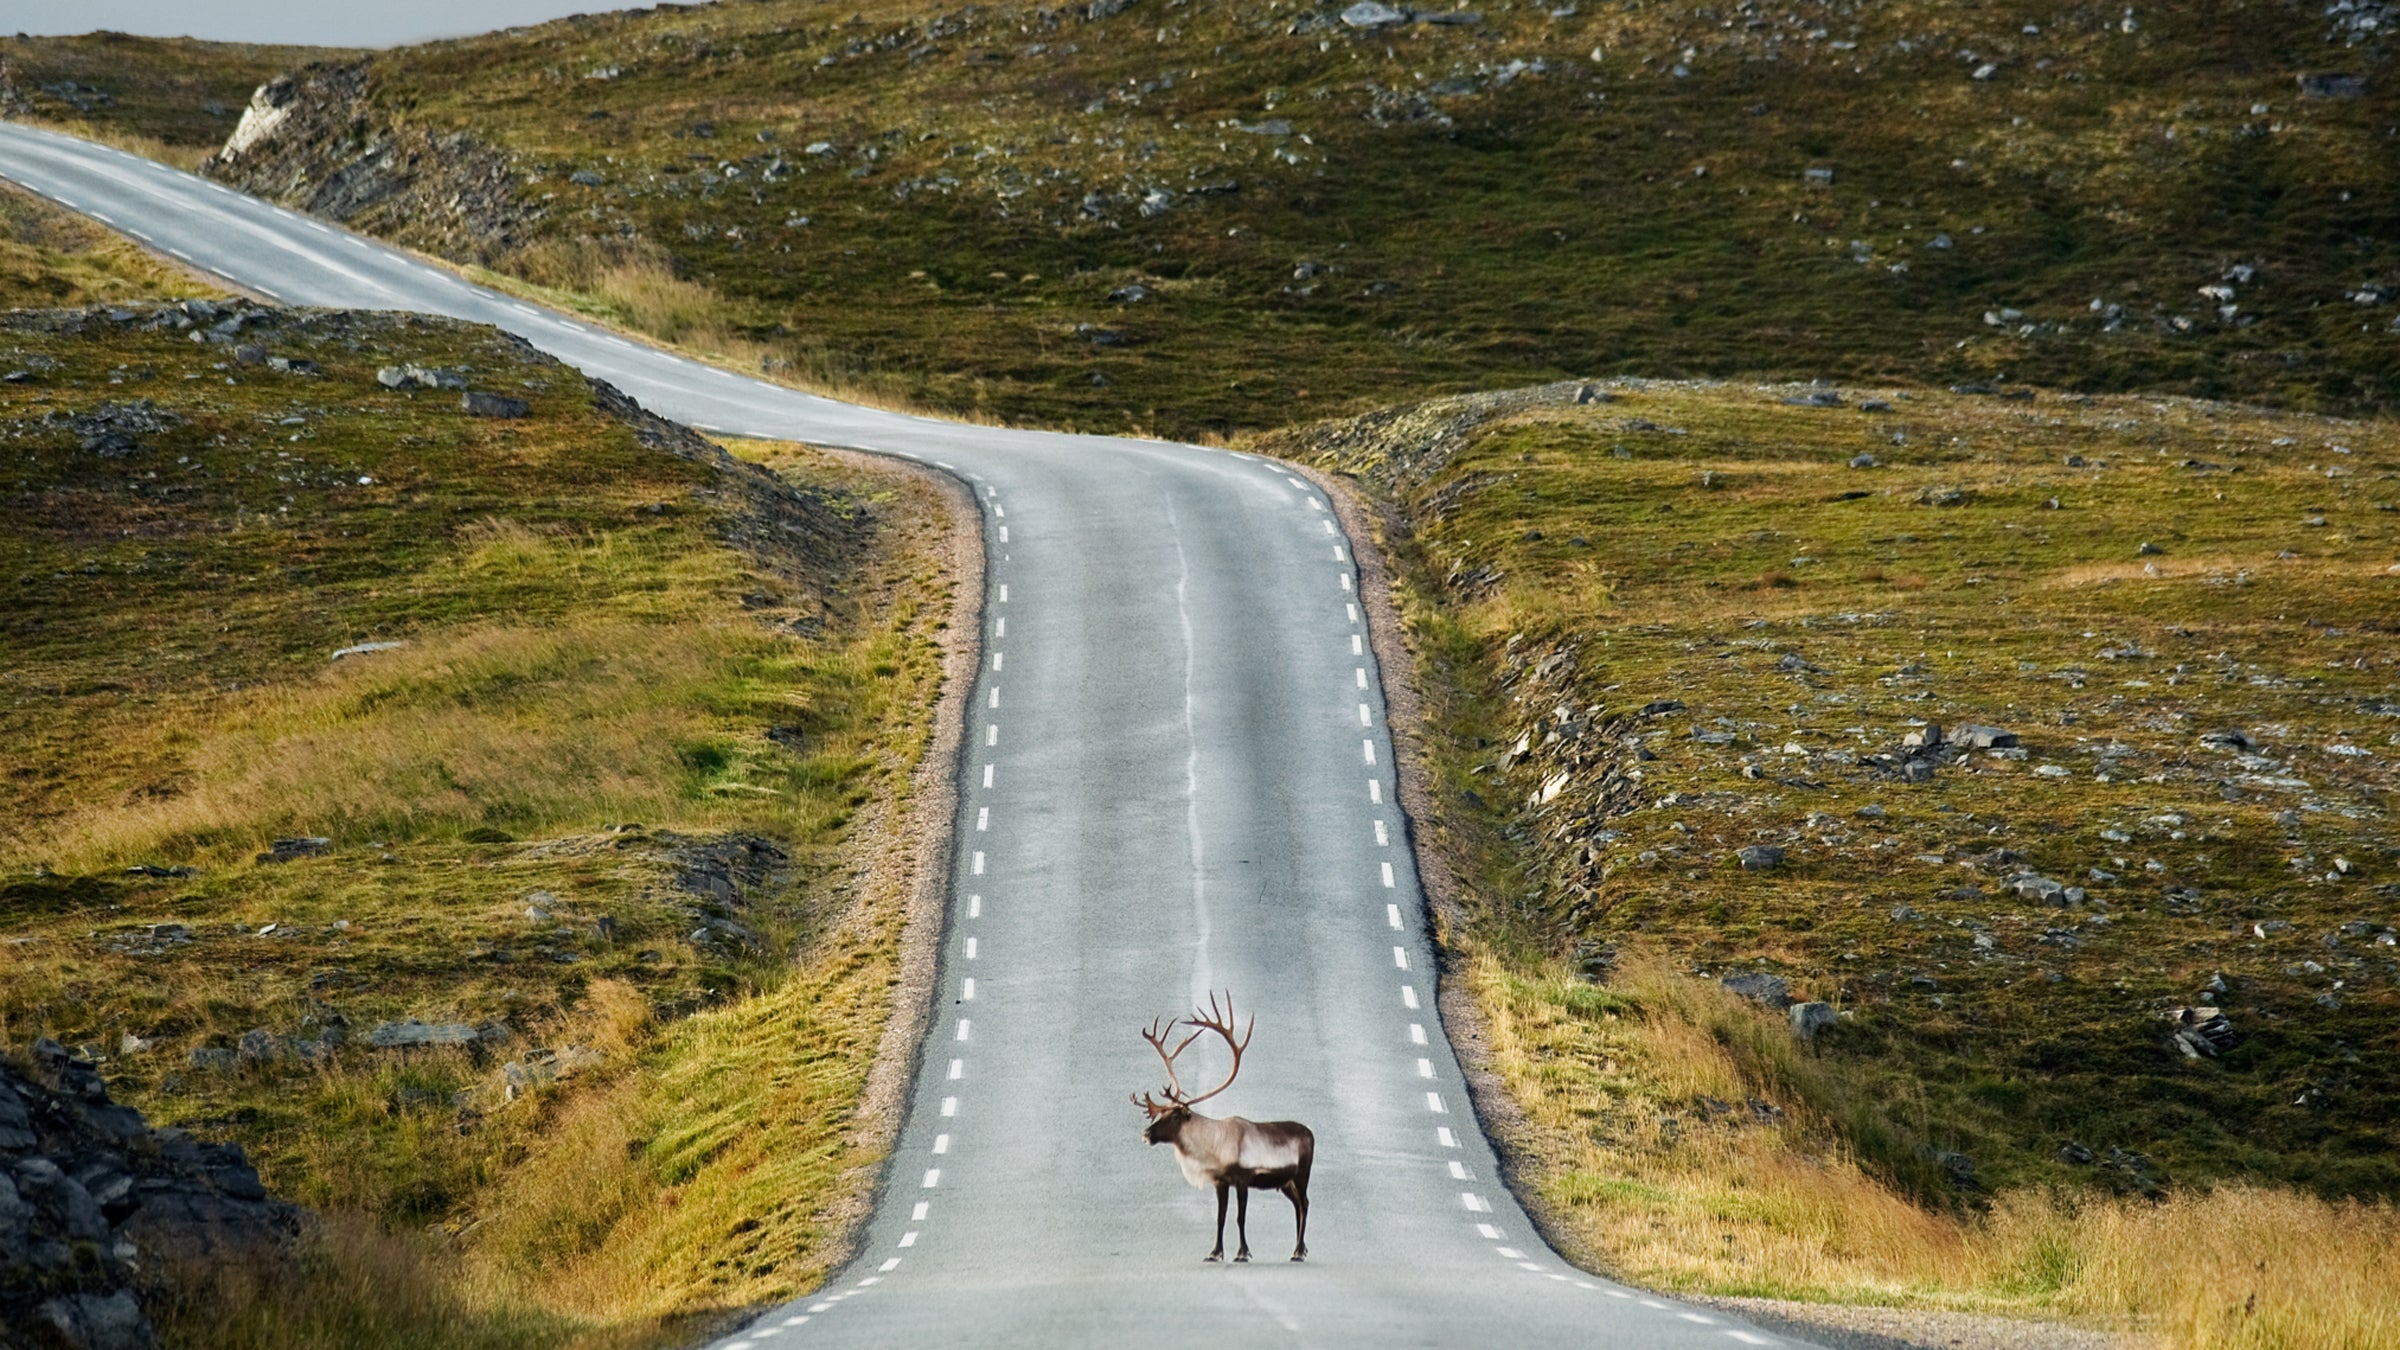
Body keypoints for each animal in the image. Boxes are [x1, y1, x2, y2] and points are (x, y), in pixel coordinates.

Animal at [1131, 991, 1314, 1264]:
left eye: (1174, 1116)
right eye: (1160, 1113)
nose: (1146, 1134)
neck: (1213, 1148)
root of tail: (1310, 1133)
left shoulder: (1243, 1179)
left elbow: (1239, 1218)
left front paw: (1242, 1253)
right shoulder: (1221, 1182)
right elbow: (1220, 1218)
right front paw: (1215, 1253)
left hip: (1301, 1175)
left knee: (1305, 1203)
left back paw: (1298, 1252)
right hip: (1285, 1182)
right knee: (1297, 1206)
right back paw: (1298, 1249)